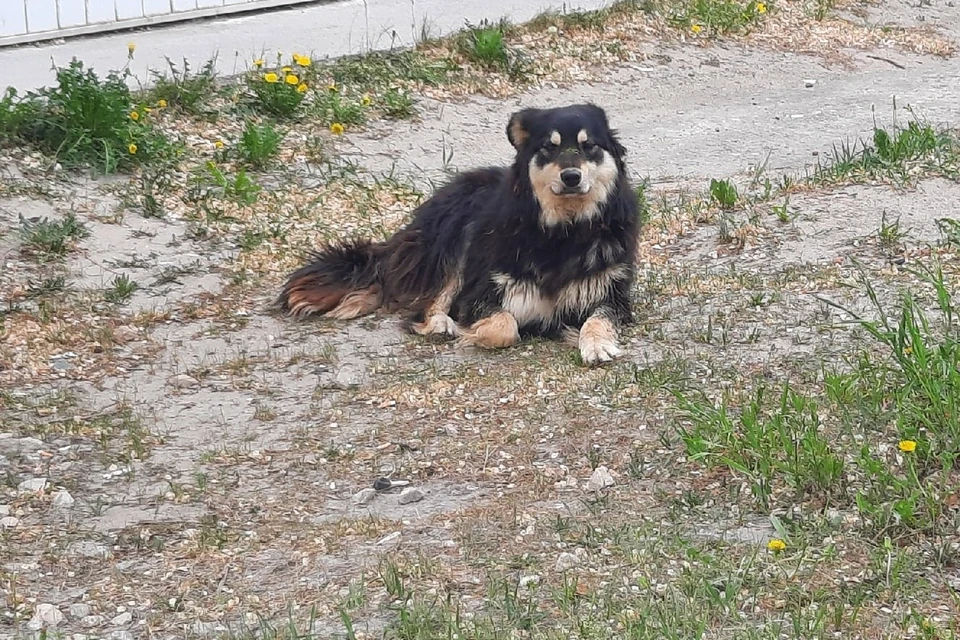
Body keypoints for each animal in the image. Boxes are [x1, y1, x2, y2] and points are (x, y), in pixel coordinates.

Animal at [274, 104, 640, 364]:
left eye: (589, 146)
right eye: (548, 148)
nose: (571, 177)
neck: (564, 231)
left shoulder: (612, 294)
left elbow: (599, 319)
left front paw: (597, 344)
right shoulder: (480, 292)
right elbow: (505, 326)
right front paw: (472, 333)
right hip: (455, 238)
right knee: (432, 298)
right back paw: (440, 324)